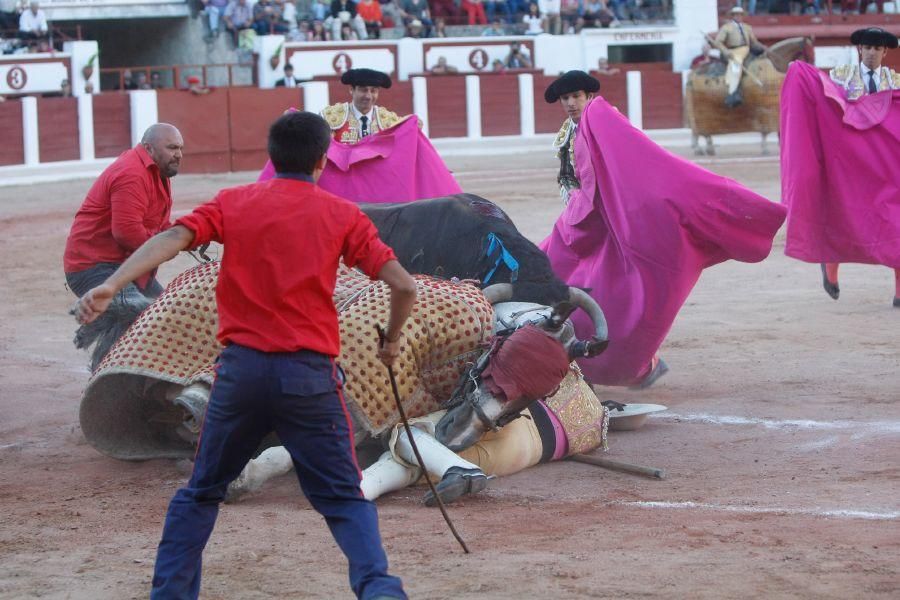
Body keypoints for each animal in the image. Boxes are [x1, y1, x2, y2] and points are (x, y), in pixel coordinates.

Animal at [688, 36, 816, 156]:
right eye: (808, 55)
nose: (812, 75)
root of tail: (693, 72)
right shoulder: (766, 109)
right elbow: (766, 130)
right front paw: (766, 149)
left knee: (699, 130)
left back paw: (705, 149)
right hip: (700, 109)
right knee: (700, 130)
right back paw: (703, 148)